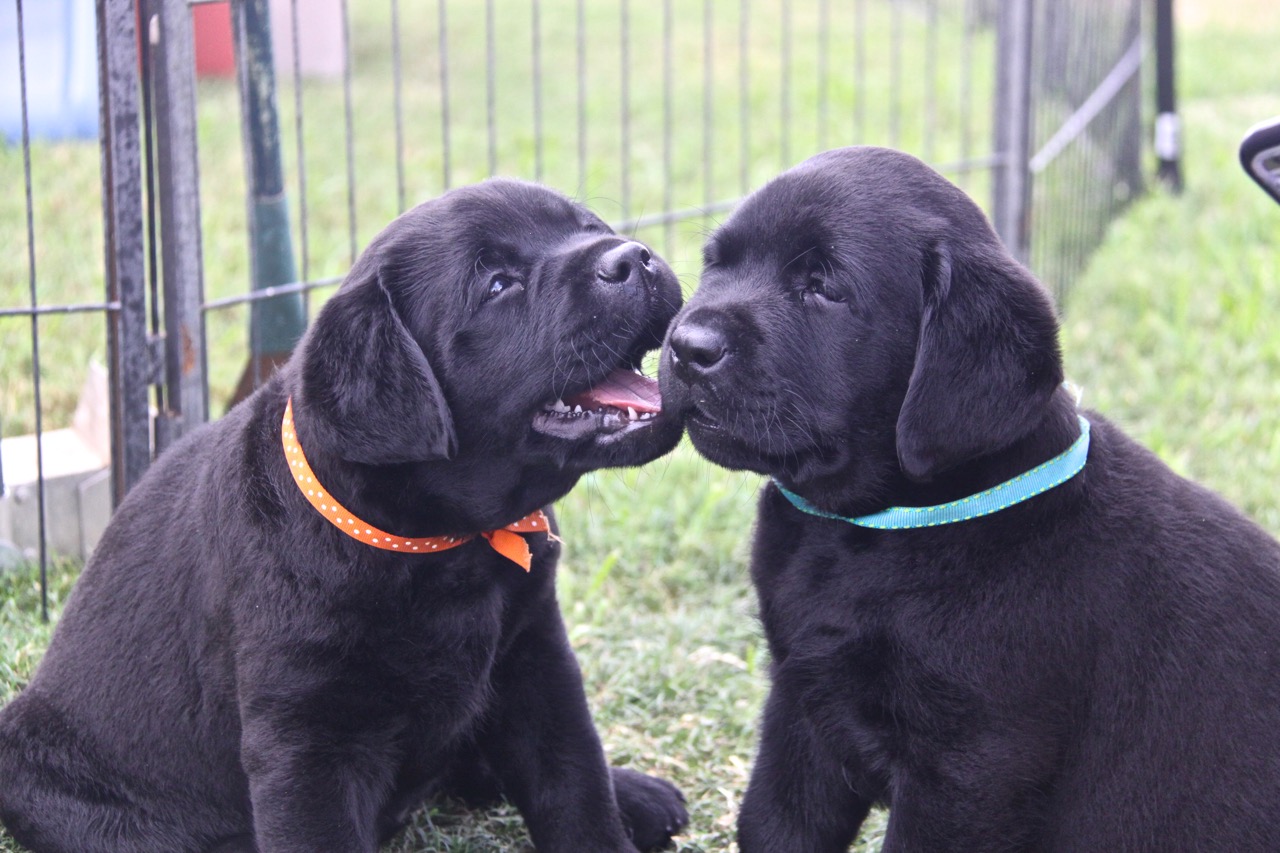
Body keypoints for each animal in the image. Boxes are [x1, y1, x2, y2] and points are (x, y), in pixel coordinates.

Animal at [0, 179, 691, 850]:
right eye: (498, 284)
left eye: (590, 227)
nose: (632, 257)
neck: (448, 548)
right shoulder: (308, 736)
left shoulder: (536, 660)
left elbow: (575, 785)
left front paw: (609, 812)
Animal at [665, 144, 1280, 845]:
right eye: (716, 263)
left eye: (824, 287)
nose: (686, 346)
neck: (871, 533)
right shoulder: (800, 708)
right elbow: (771, 827)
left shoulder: (972, 770)